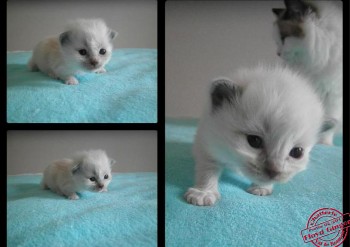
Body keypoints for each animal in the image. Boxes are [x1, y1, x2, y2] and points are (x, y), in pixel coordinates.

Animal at [185, 65, 330, 206]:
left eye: (297, 152)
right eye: (254, 141)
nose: (274, 172)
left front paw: (261, 188)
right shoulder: (207, 143)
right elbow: (207, 170)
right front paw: (203, 193)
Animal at [272, 0, 344, 145]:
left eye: (283, 38)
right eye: (277, 41)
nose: (278, 53)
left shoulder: (334, 97)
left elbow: (328, 125)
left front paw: (324, 143)